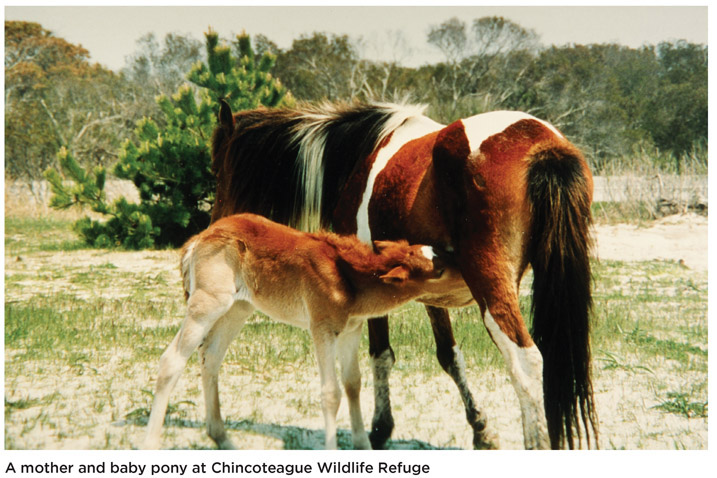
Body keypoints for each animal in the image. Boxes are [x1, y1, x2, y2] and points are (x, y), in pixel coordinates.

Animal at [143, 213, 456, 448]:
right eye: (437, 270)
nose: (456, 258)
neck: (347, 277)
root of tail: (200, 238)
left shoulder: (351, 331)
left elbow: (353, 384)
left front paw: (363, 446)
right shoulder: (322, 330)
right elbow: (331, 393)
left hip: (238, 309)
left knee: (211, 358)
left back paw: (224, 440)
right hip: (208, 304)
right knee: (171, 360)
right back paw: (152, 443)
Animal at [208, 100, 600, 448]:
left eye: (216, 169)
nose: (215, 223)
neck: (359, 155)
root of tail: (542, 146)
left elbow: (380, 354)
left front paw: (380, 429)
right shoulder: (431, 287)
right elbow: (449, 355)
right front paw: (480, 428)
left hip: (492, 290)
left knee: (526, 361)